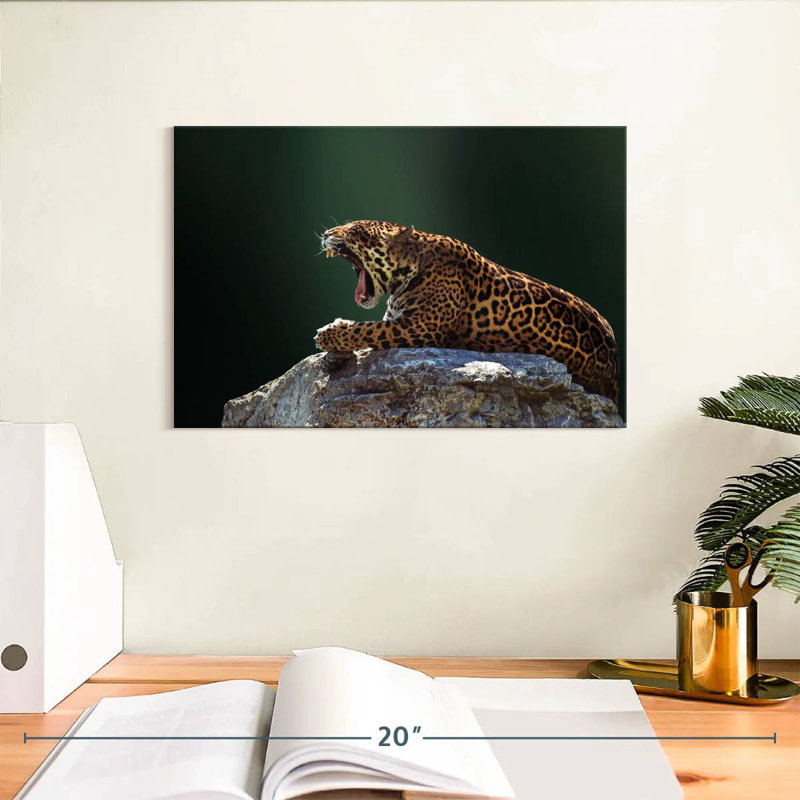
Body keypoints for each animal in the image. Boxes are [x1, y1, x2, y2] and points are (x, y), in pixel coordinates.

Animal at [315, 220, 620, 405]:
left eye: (354, 231)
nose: (327, 234)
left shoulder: (418, 329)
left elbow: (367, 329)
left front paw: (329, 334)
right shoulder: (398, 320)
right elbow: (366, 330)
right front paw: (332, 356)